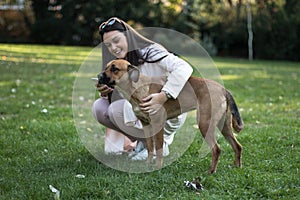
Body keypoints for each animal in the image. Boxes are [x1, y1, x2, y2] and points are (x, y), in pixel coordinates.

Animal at [98, 58, 244, 173]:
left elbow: (159, 149)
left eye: (115, 69)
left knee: (216, 149)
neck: (138, 88)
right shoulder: (146, 125)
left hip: (205, 124)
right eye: (106, 67)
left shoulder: (158, 125)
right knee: (237, 146)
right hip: (224, 126)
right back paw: (237, 167)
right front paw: (147, 164)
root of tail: (223, 89)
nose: (99, 76)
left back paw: (211, 171)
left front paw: (157, 167)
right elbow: (150, 147)